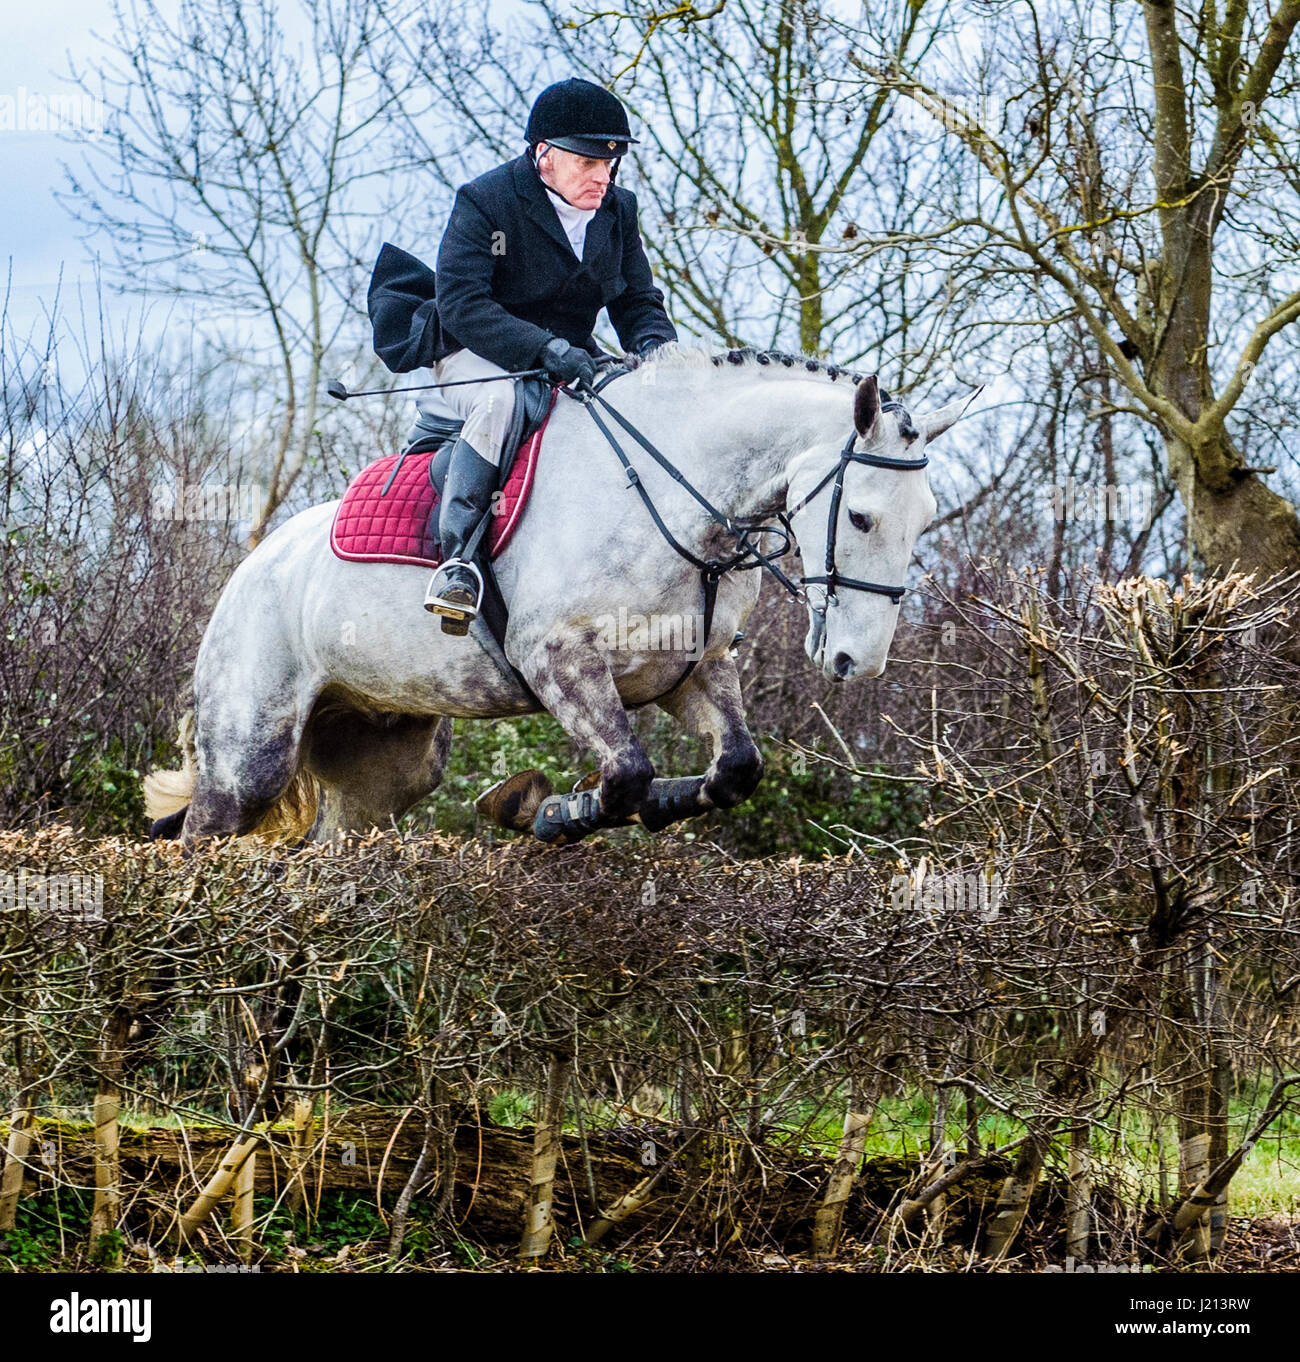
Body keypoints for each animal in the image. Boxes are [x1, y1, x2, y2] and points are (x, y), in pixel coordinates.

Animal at [144, 345, 970, 844]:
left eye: (925, 518)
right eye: (860, 516)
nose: (859, 662)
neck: (670, 498)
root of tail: (252, 566)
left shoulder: (692, 670)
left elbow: (733, 768)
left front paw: (585, 806)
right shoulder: (557, 659)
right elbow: (627, 772)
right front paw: (546, 811)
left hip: (385, 765)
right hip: (249, 754)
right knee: (204, 838)